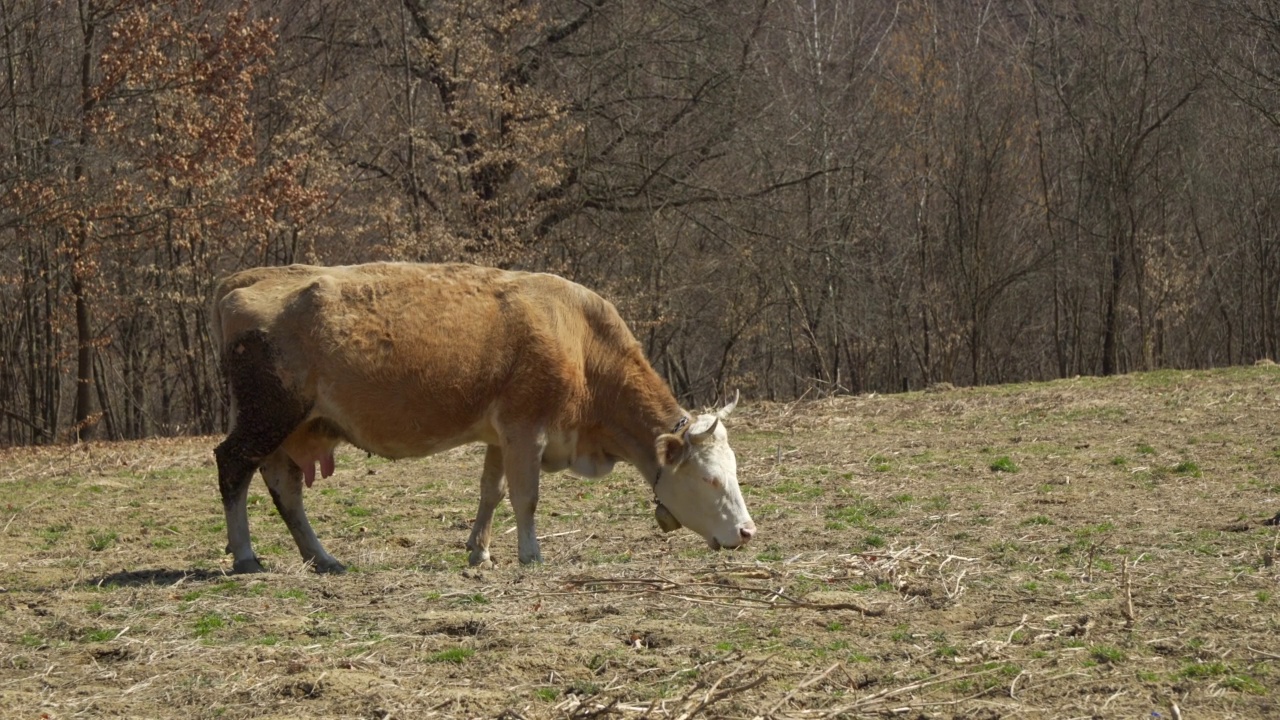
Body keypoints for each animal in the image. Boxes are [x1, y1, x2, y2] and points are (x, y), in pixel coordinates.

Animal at [204, 260, 752, 568]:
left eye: (734, 472)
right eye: (709, 480)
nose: (748, 532)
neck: (581, 344)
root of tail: (243, 279)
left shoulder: (498, 437)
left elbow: (493, 492)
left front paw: (480, 551)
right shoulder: (525, 430)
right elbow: (526, 497)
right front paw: (531, 555)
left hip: (292, 427)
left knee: (284, 487)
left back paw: (322, 558)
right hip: (266, 418)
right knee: (233, 466)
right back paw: (247, 555)